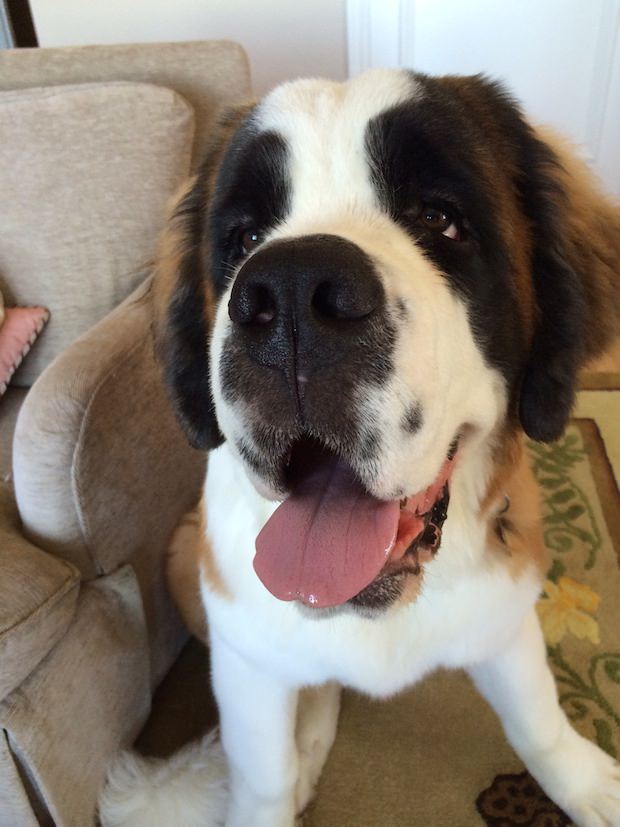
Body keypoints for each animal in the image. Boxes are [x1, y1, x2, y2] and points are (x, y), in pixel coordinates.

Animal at [100, 69, 620, 827]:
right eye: (245, 236)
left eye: (438, 218)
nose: (287, 294)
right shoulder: (243, 658)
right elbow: (261, 774)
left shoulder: (506, 611)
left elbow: (537, 717)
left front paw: (583, 782)